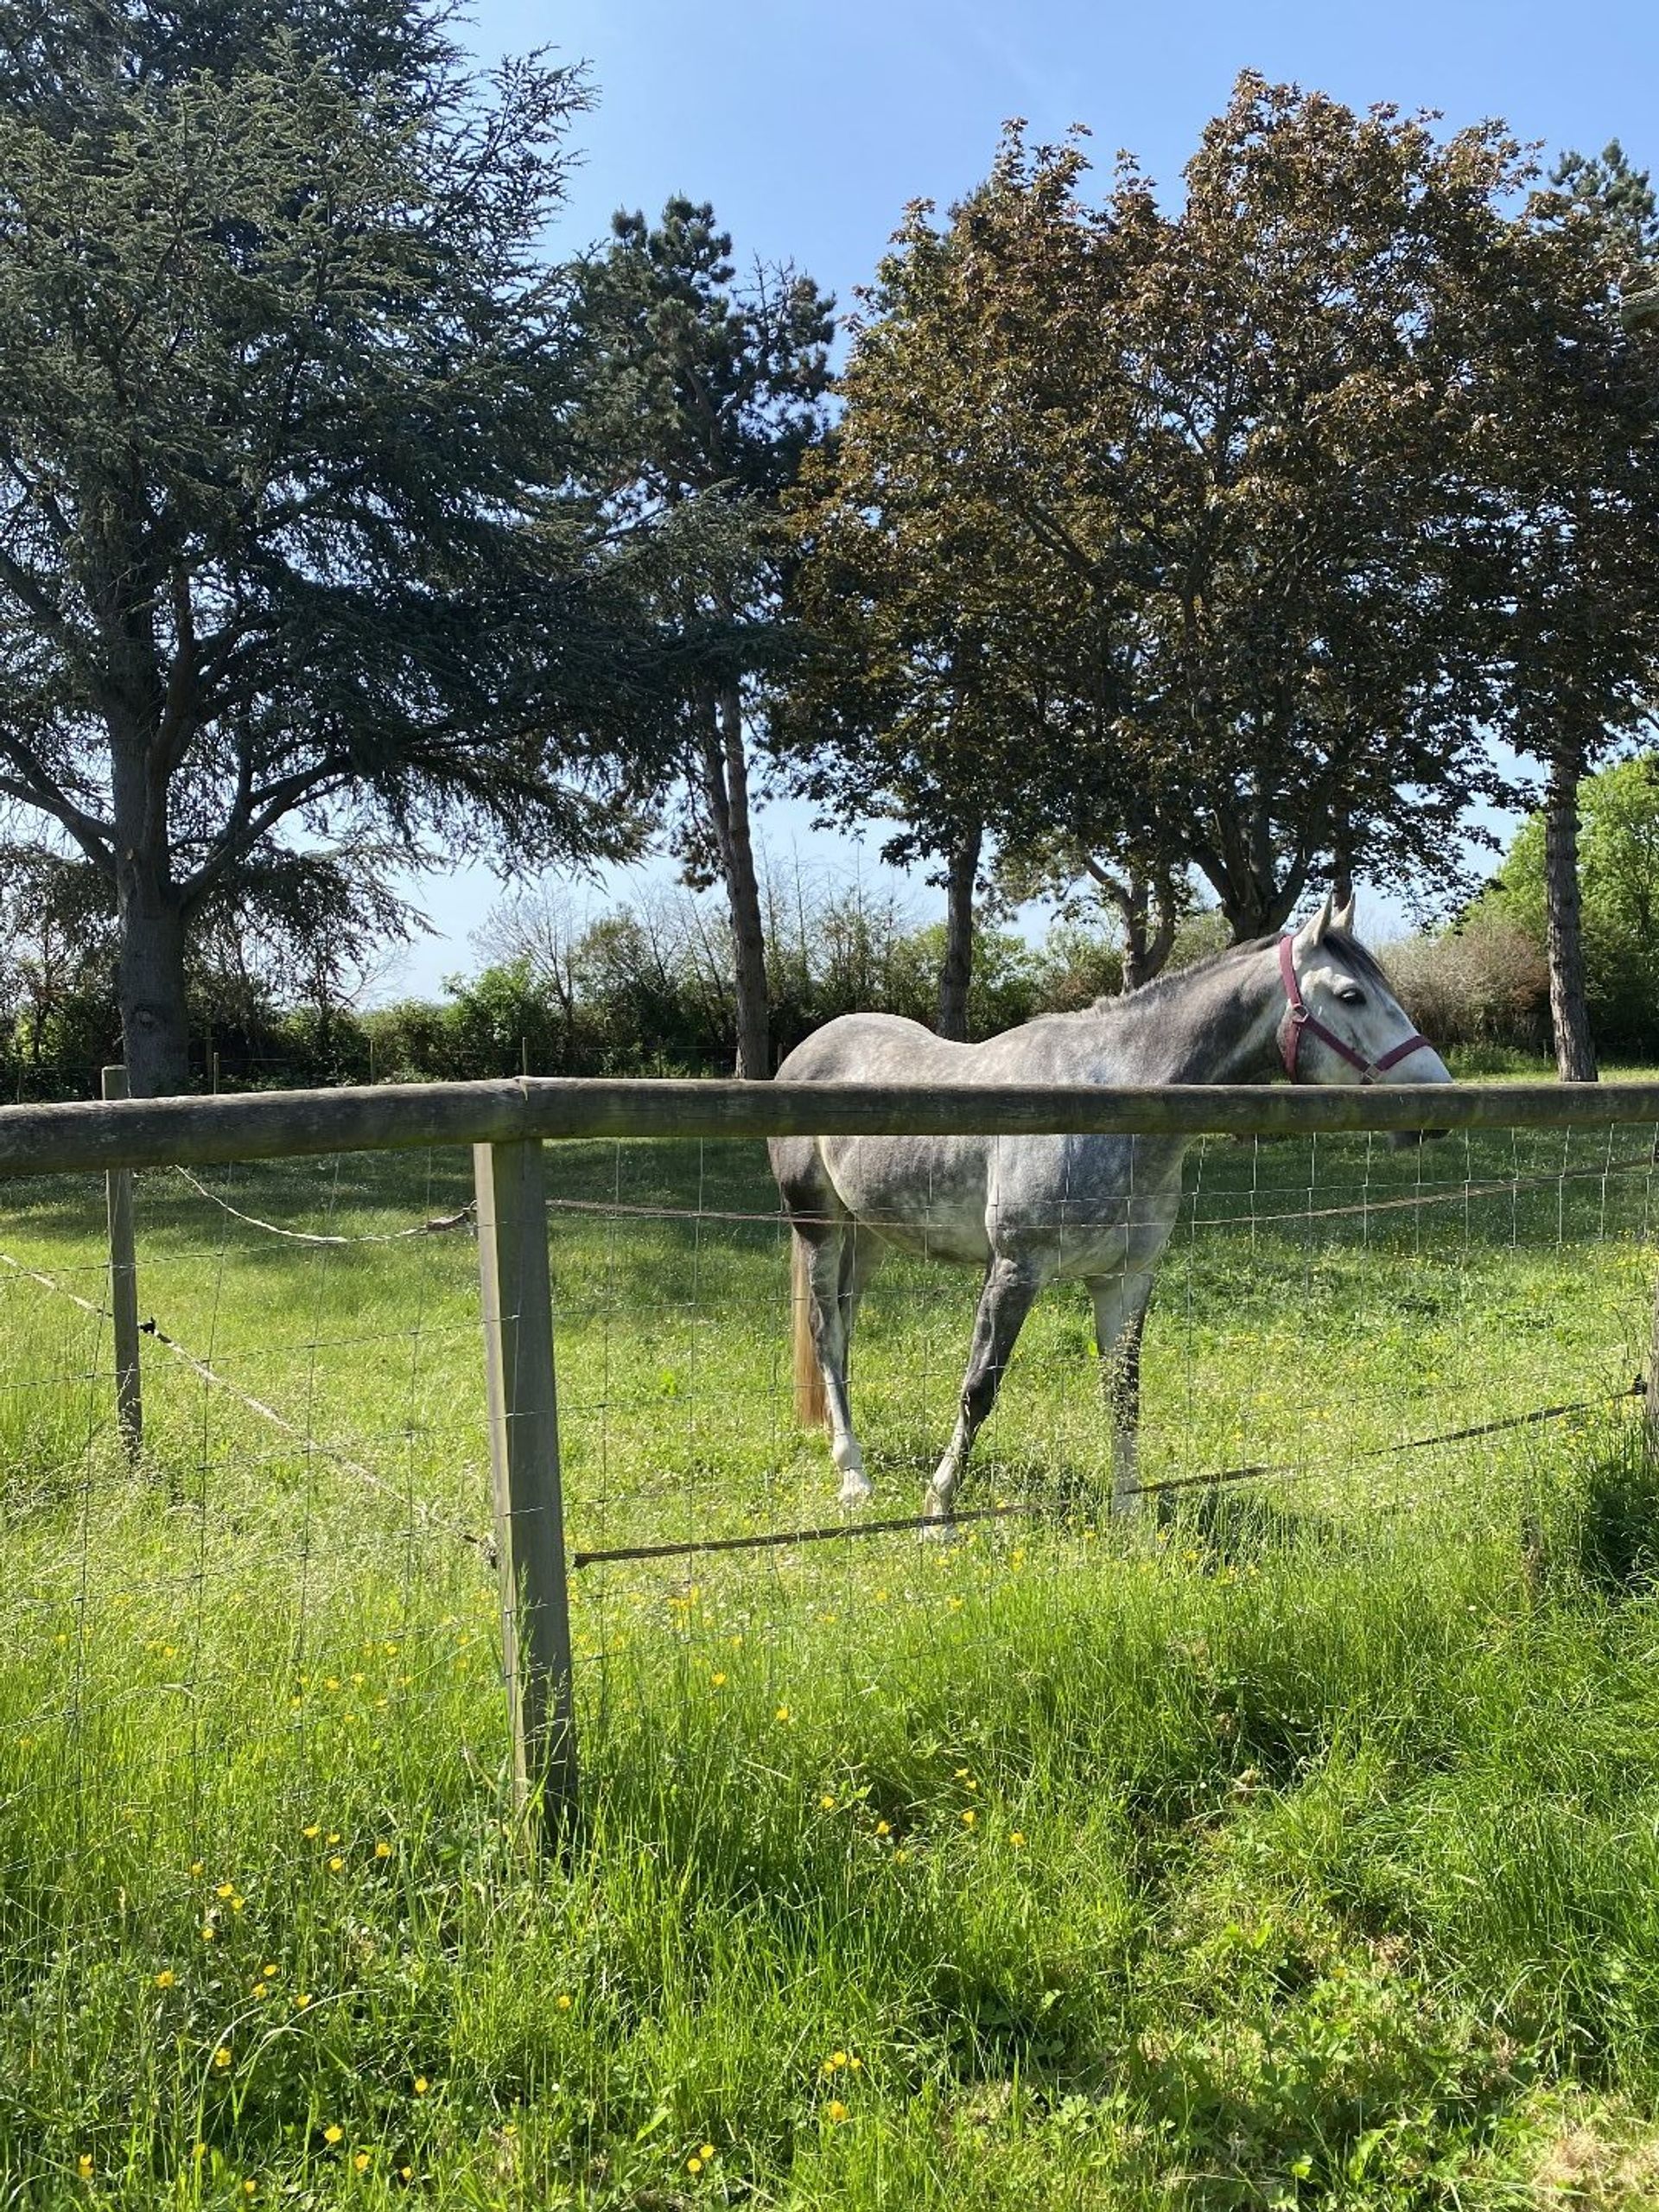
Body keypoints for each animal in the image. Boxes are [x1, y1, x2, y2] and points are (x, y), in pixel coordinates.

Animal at [769, 898, 1451, 1522]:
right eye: (1351, 995)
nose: (1439, 1101)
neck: (1107, 1108)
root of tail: (806, 1052)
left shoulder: (1126, 1279)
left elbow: (1124, 1394)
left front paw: (1130, 1513)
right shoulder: (1015, 1271)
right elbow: (979, 1388)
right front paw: (939, 1510)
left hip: (869, 1235)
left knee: (845, 1328)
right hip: (819, 1227)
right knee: (827, 1333)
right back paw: (854, 1476)